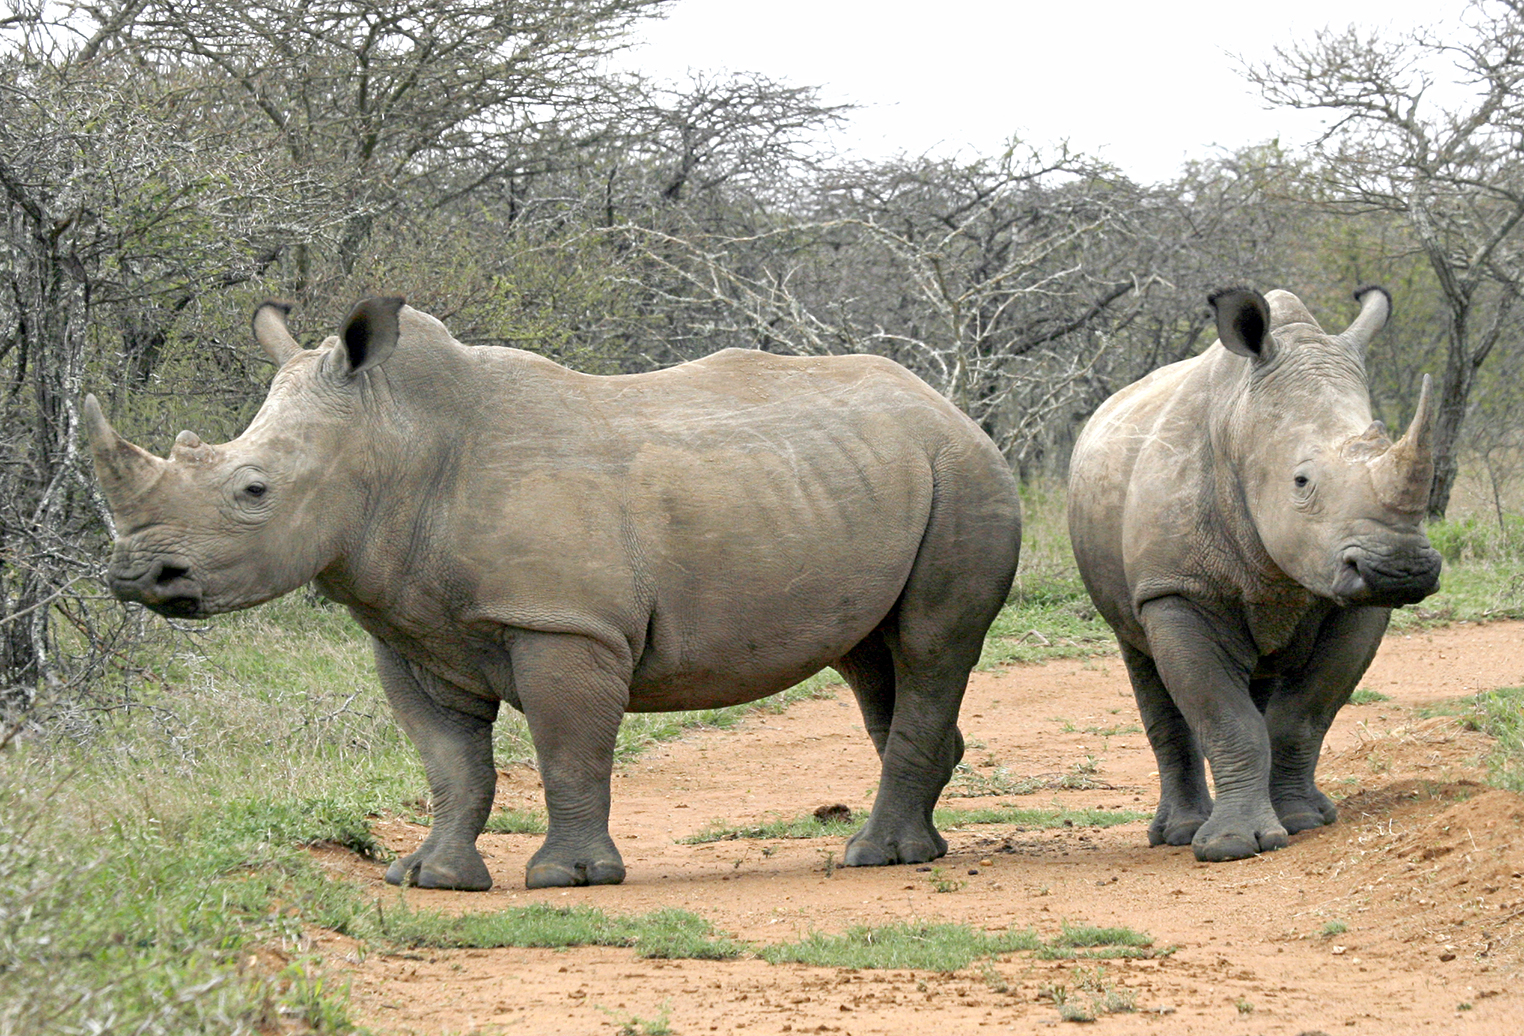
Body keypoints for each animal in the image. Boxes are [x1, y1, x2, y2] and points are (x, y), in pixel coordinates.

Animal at [86, 297, 1022, 890]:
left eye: (253, 490)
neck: (395, 439)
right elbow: (450, 763)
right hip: (873, 479)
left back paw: (876, 858)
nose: (135, 577)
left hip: (965, 475)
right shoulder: (410, 631)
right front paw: (429, 877)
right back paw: (917, 848)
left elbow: (568, 750)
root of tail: (951, 409)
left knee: (931, 644)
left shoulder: (567, 625)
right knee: (872, 659)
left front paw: (568, 878)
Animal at [1067, 286, 1441, 863]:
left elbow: (1302, 716)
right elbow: (1226, 718)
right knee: (1144, 662)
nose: (1400, 570)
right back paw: (1178, 834)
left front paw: (1303, 821)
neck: (1243, 425)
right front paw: (1231, 846)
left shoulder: (1358, 605)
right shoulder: (1177, 590)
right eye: (1302, 481)